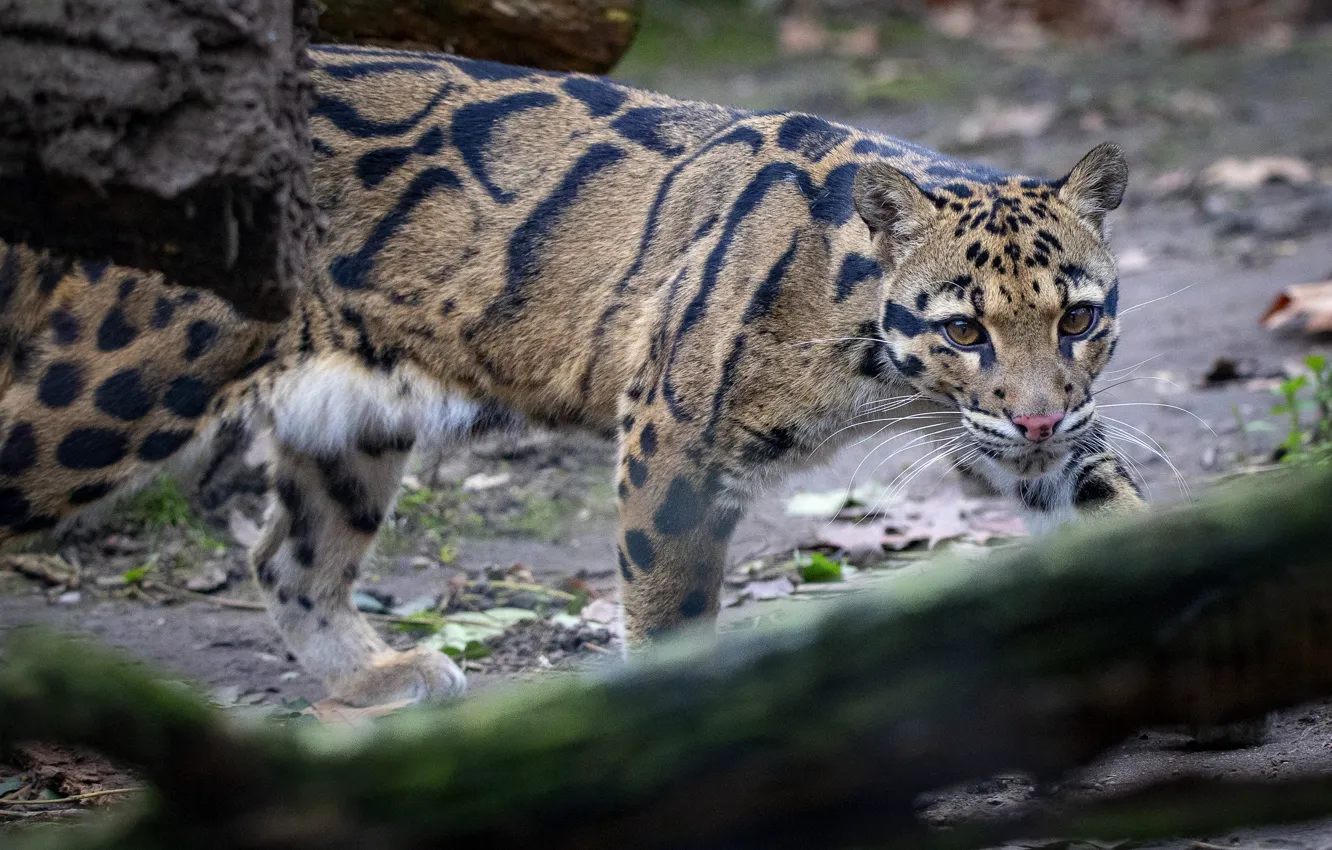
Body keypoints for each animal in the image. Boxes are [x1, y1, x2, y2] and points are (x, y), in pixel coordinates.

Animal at [0, 44, 1143, 706]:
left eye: (1079, 318)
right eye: (965, 330)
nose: (1038, 419)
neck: (874, 356)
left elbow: (1113, 510)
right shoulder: (675, 438)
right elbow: (668, 611)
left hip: (351, 418)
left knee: (288, 553)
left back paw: (379, 677)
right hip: (103, 394)